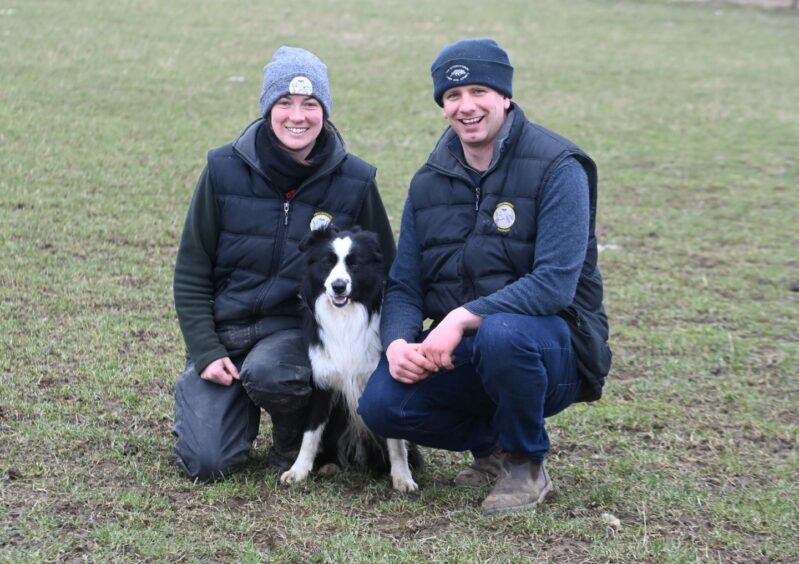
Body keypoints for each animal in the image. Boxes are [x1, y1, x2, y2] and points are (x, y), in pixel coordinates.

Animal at [278, 224, 418, 490]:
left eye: (354, 264)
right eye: (328, 263)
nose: (339, 286)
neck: (345, 317)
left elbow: (396, 441)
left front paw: (402, 476)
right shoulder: (322, 383)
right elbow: (310, 433)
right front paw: (298, 470)